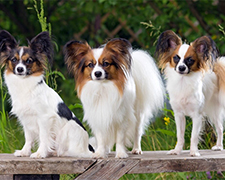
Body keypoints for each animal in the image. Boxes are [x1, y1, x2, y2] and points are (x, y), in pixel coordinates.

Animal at [0, 30, 93, 158]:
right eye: (14, 60)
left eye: (29, 61)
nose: (19, 69)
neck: (24, 83)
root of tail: (87, 148)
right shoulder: (26, 119)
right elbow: (28, 138)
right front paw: (24, 152)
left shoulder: (44, 118)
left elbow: (44, 137)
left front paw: (40, 153)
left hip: (69, 127)